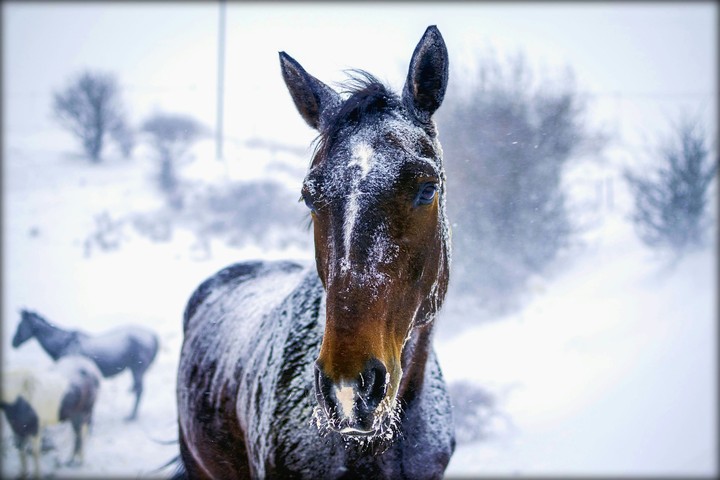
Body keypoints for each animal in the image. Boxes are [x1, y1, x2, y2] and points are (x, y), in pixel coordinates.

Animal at [12, 309, 159, 421]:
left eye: (19, 325)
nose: (13, 342)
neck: (64, 343)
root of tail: (152, 335)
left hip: (137, 369)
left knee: (140, 390)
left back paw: (131, 416)